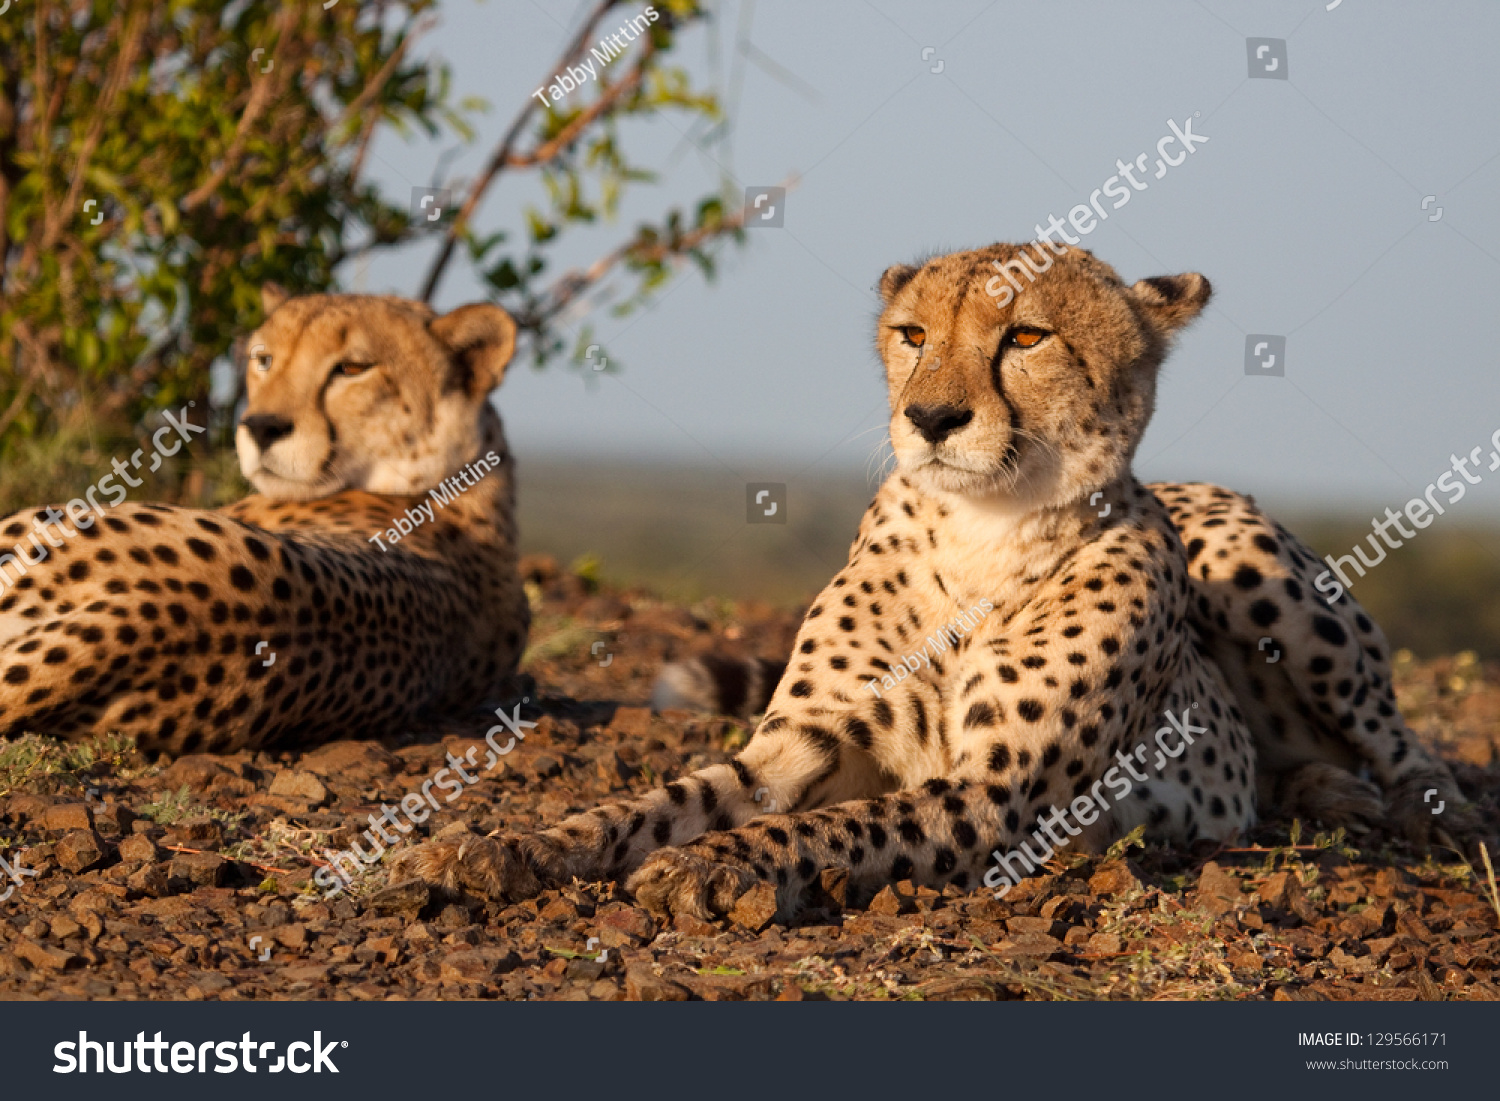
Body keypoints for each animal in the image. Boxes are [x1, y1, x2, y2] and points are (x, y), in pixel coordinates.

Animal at [393, 243, 1482, 924]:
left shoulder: (994, 800)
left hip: (1251, 562)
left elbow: (826, 827)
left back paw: (1418, 811)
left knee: (1398, 737)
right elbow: (656, 802)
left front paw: (707, 866)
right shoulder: (795, 746)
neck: (980, 533)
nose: (930, 418)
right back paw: (1316, 790)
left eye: (1027, 338)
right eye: (912, 334)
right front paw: (507, 845)